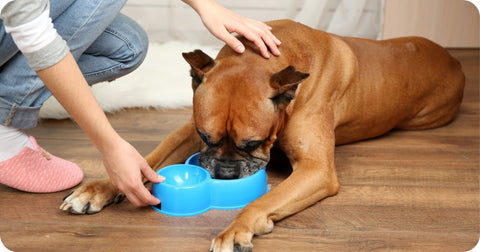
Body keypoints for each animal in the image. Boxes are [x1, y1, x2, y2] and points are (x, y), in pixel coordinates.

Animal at [60, 19, 464, 250]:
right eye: (207, 139)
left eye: (252, 144)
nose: (224, 173)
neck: (260, 57)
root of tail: (455, 60)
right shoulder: (188, 132)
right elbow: (149, 158)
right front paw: (99, 189)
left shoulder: (317, 170)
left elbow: (259, 202)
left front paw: (235, 230)